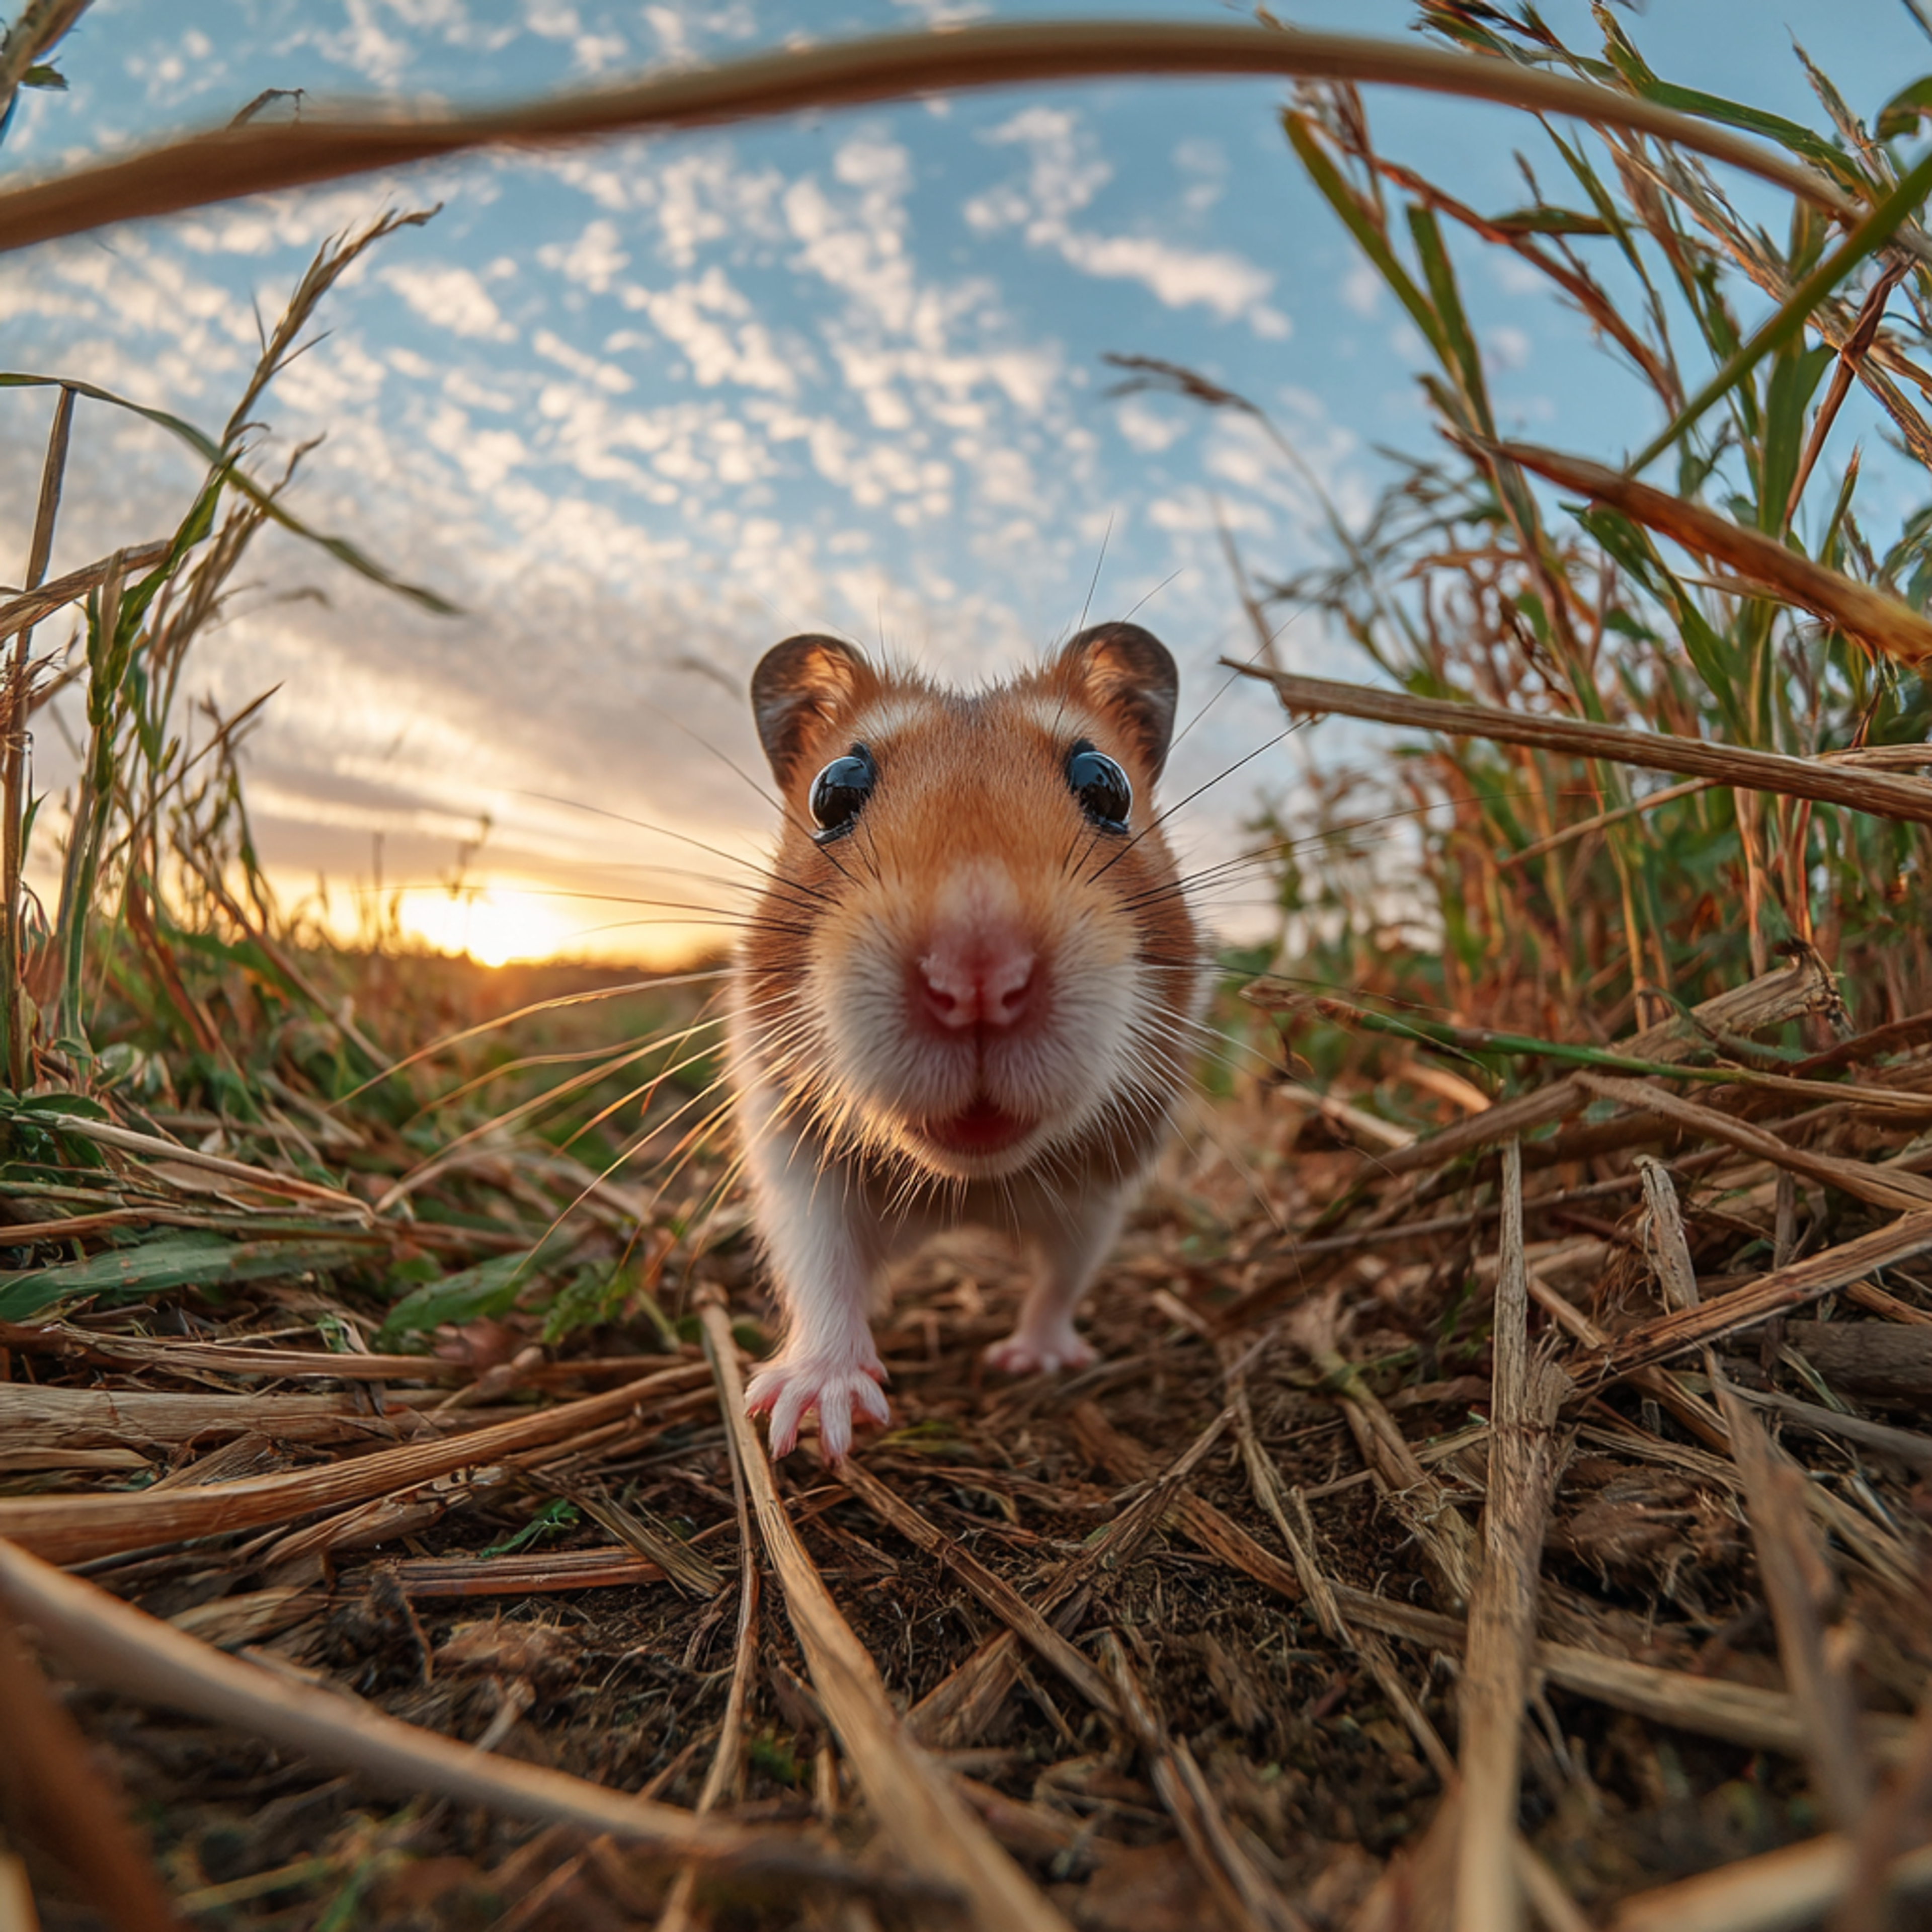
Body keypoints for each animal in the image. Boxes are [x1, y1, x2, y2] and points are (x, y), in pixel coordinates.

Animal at [725, 622, 1203, 1460]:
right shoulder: (795, 1158)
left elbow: (1061, 1280)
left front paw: (1033, 1362)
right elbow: (820, 1270)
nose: (977, 976)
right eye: (833, 791)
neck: (972, 1182)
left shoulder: (1100, 1198)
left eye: (1107, 785)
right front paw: (814, 1419)